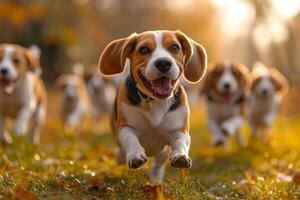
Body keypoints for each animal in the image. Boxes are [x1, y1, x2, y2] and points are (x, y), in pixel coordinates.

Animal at [98, 30, 206, 183]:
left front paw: (180, 156)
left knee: (158, 165)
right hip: (120, 151)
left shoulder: (180, 130)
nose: (163, 63)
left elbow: (181, 142)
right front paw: (135, 155)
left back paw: (155, 179)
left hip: (162, 153)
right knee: (120, 155)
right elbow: (130, 138)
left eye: (174, 47)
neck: (155, 101)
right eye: (143, 50)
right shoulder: (125, 127)